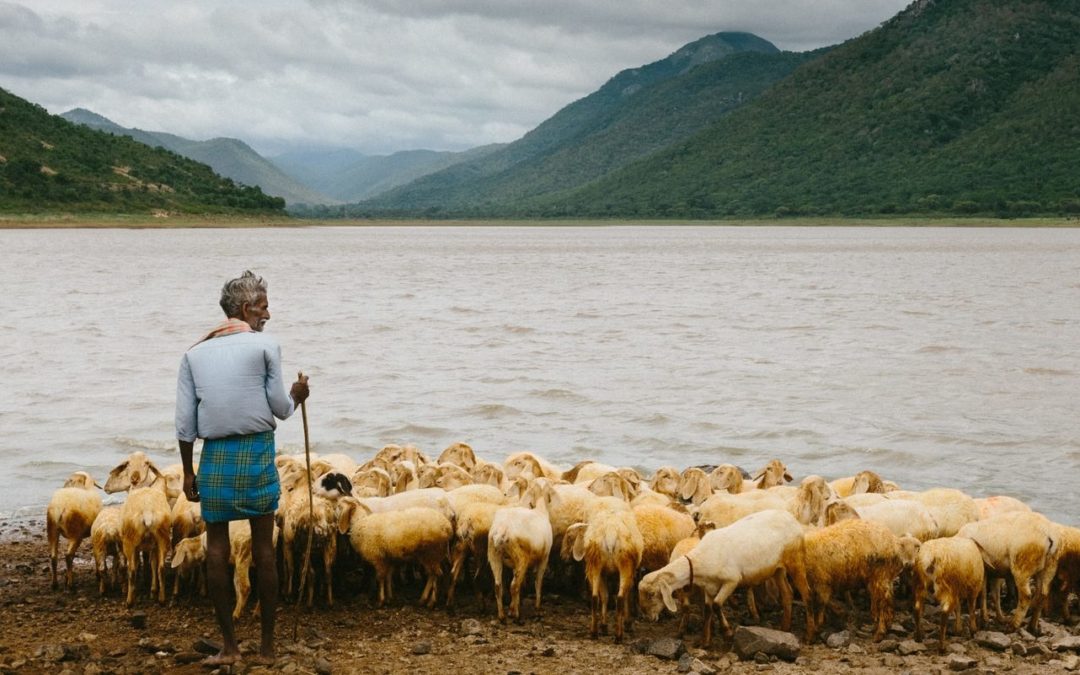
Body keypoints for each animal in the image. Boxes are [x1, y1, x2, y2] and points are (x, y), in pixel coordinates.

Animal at [639, 507, 812, 643]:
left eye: (651, 594)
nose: (648, 618)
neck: (700, 559)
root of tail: (790, 517)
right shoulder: (709, 587)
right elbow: (708, 608)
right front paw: (705, 641)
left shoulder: (732, 581)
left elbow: (716, 605)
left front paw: (727, 633)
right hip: (777, 569)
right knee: (787, 594)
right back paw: (784, 628)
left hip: (795, 559)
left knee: (806, 594)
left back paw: (808, 636)